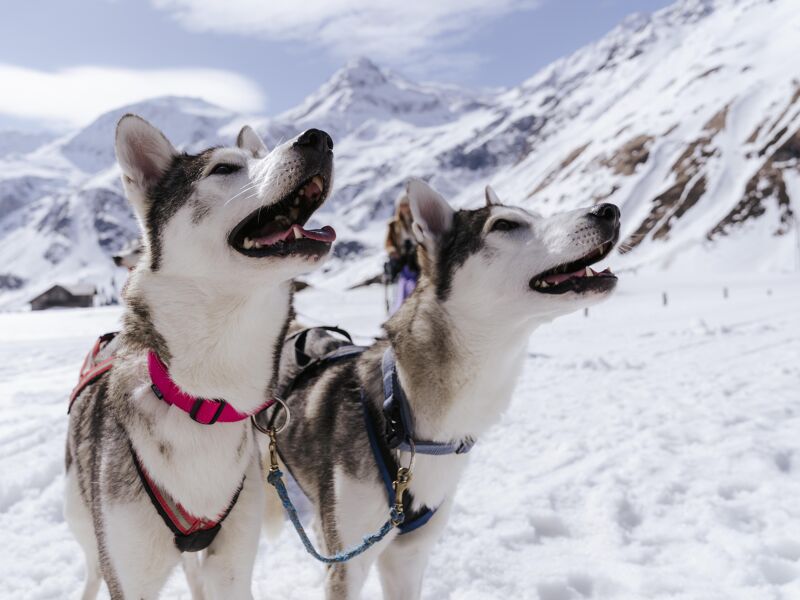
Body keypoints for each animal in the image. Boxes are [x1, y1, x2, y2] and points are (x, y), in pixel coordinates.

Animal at [65, 115, 334, 596]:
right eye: (224, 168)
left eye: (260, 155)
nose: (319, 138)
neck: (203, 401)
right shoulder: (129, 574)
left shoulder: (231, 567)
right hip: (83, 519)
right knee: (93, 568)